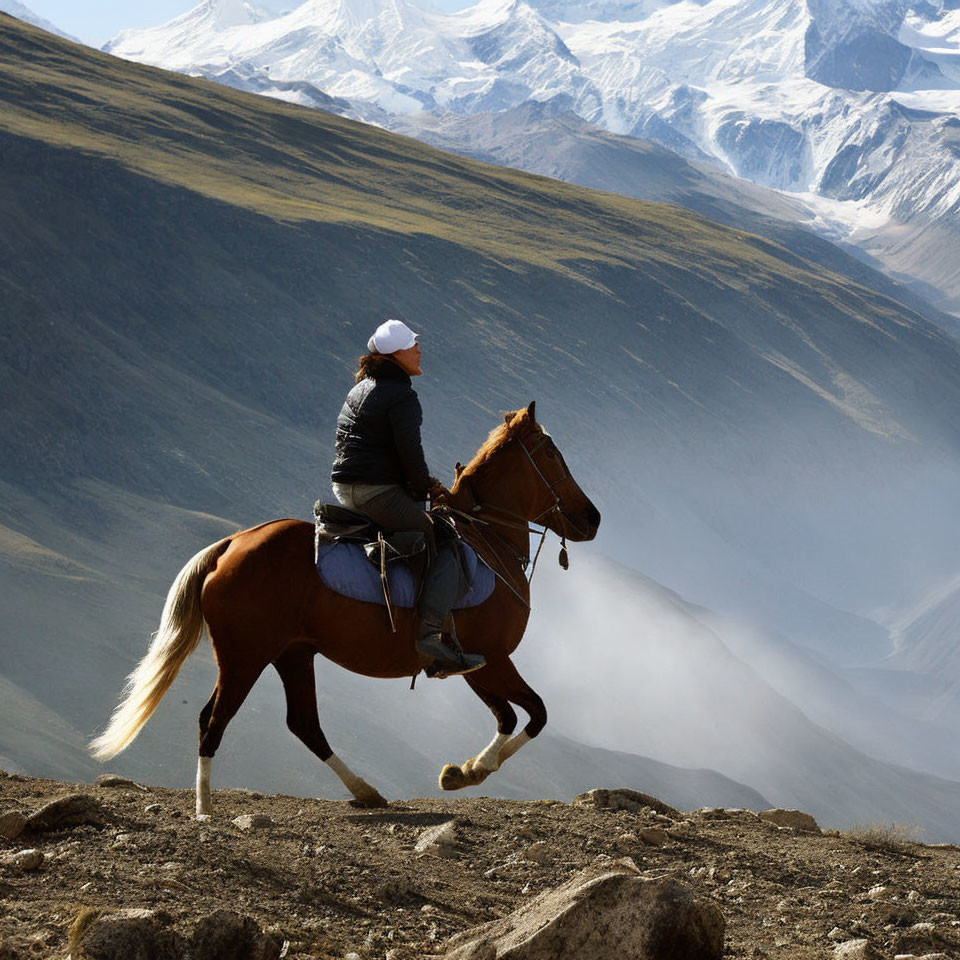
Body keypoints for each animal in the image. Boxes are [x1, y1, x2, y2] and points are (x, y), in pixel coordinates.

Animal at [90, 402, 600, 812]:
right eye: (551, 454)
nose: (591, 518)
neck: (487, 541)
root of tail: (231, 544)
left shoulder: (472, 664)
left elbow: (510, 716)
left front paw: (461, 771)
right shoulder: (494, 660)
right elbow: (535, 714)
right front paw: (475, 769)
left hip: (291, 654)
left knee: (304, 724)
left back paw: (365, 791)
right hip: (245, 656)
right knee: (213, 719)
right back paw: (204, 807)